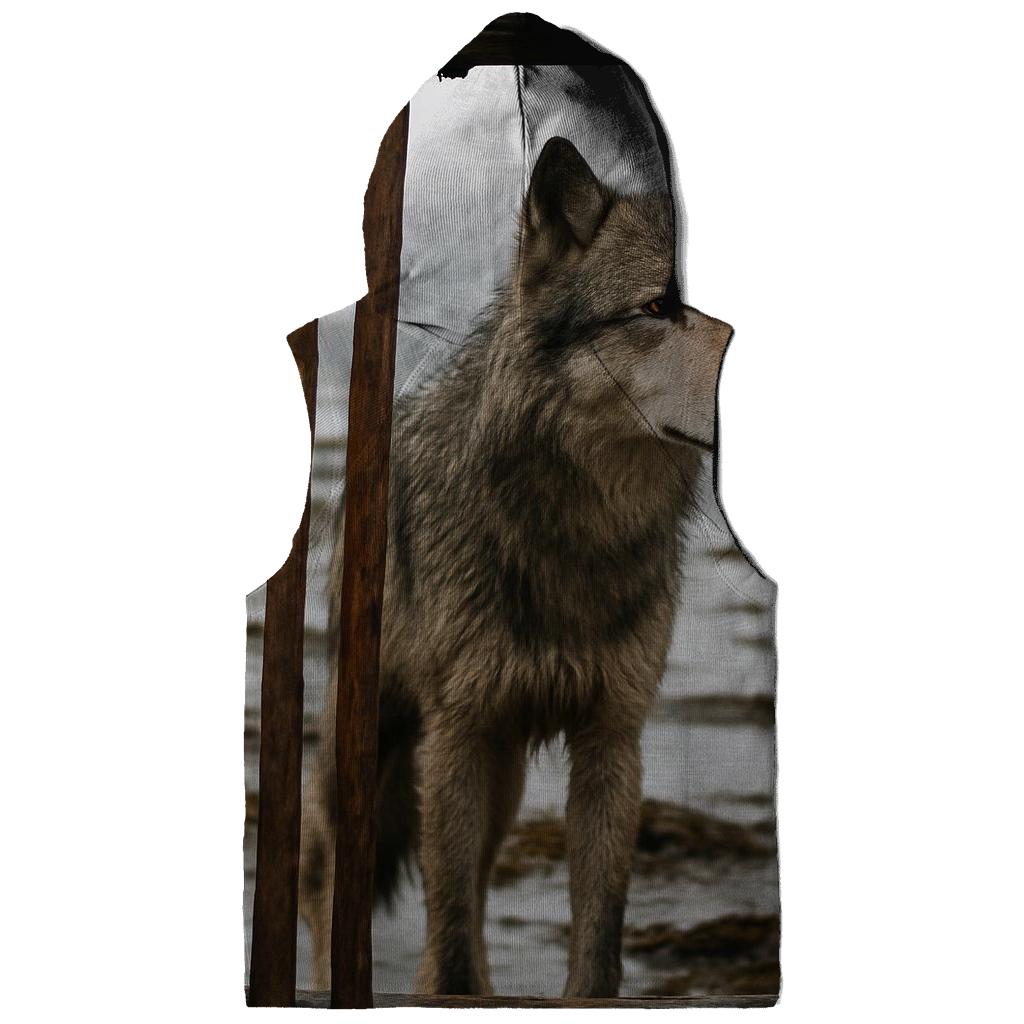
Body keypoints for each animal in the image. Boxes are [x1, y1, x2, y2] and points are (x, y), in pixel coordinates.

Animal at [299, 136, 733, 998]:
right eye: (656, 308)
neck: (577, 536)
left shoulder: (611, 740)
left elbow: (595, 936)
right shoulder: (458, 729)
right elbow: (448, 931)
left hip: (495, 772)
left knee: (467, 881)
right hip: (382, 739)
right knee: (331, 854)